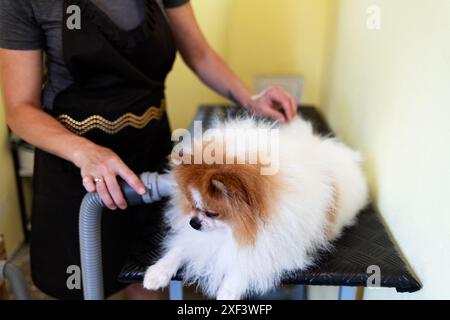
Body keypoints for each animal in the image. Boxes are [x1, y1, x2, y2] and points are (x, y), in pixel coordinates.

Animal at [144, 115, 370, 300]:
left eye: (212, 213)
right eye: (192, 205)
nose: (193, 223)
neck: (235, 231)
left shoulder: (275, 246)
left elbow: (246, 265)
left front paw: (227, 291)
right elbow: (180, 249)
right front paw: (157, 273)